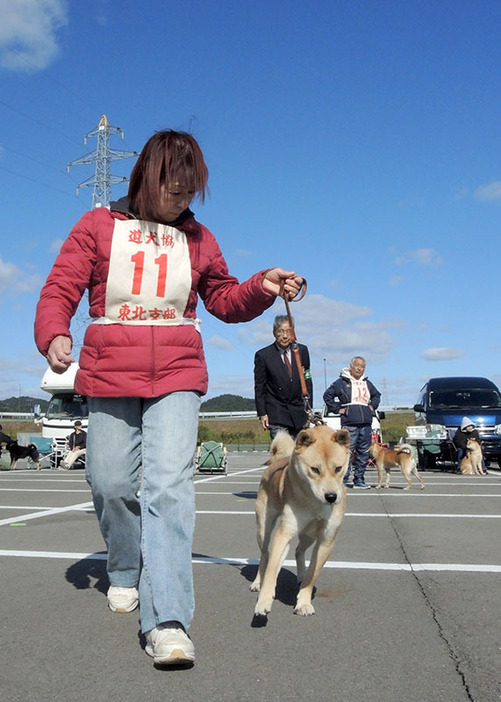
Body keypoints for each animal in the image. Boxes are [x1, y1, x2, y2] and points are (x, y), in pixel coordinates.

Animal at [249, 424, 348, 616]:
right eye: (315, 469)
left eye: (338, 468)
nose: (331, 497)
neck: (314, 502)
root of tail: (276, 462)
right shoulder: (284, 533)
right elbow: (271, 569)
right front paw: (263, 601)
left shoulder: (326, 540)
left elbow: (312, 575)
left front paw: (303, 603)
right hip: (264, 529)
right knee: (265, 556)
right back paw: (258, 582)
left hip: (308, 535)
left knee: (298, 551)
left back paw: (300, 576)